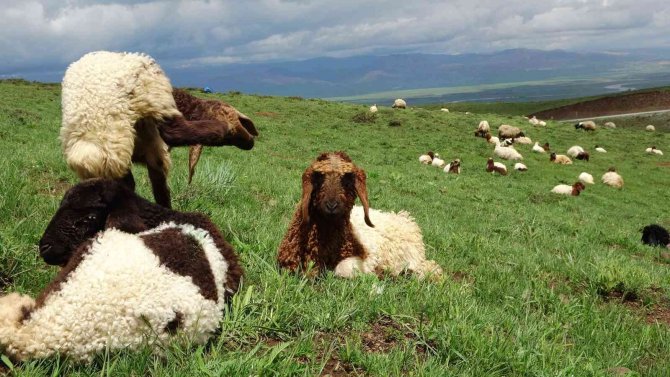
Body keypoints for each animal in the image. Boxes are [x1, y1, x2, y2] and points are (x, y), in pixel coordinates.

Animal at [276, 151, 444, 278]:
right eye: (319, 178)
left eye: (348, 181)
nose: (332, 205)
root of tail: (406, 219)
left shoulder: (368, 257)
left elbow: (343, 268)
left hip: (411, 256)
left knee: (432, 268)